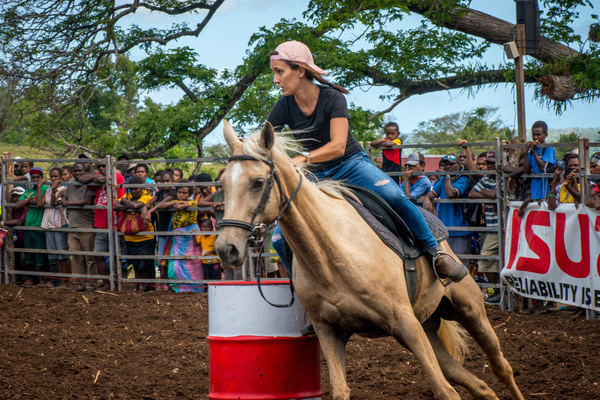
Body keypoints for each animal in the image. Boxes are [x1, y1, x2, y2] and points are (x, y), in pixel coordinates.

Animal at [217, 122, 524, 400]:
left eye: (258, 182)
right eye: (222, 184)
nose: (225, 248)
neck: (332, 256)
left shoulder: (405, 322)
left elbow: (445, 392)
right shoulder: (329, 331)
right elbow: (341, 390)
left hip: (469, 310)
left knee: (501, 366)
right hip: (427, 328)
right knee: (476, 384)